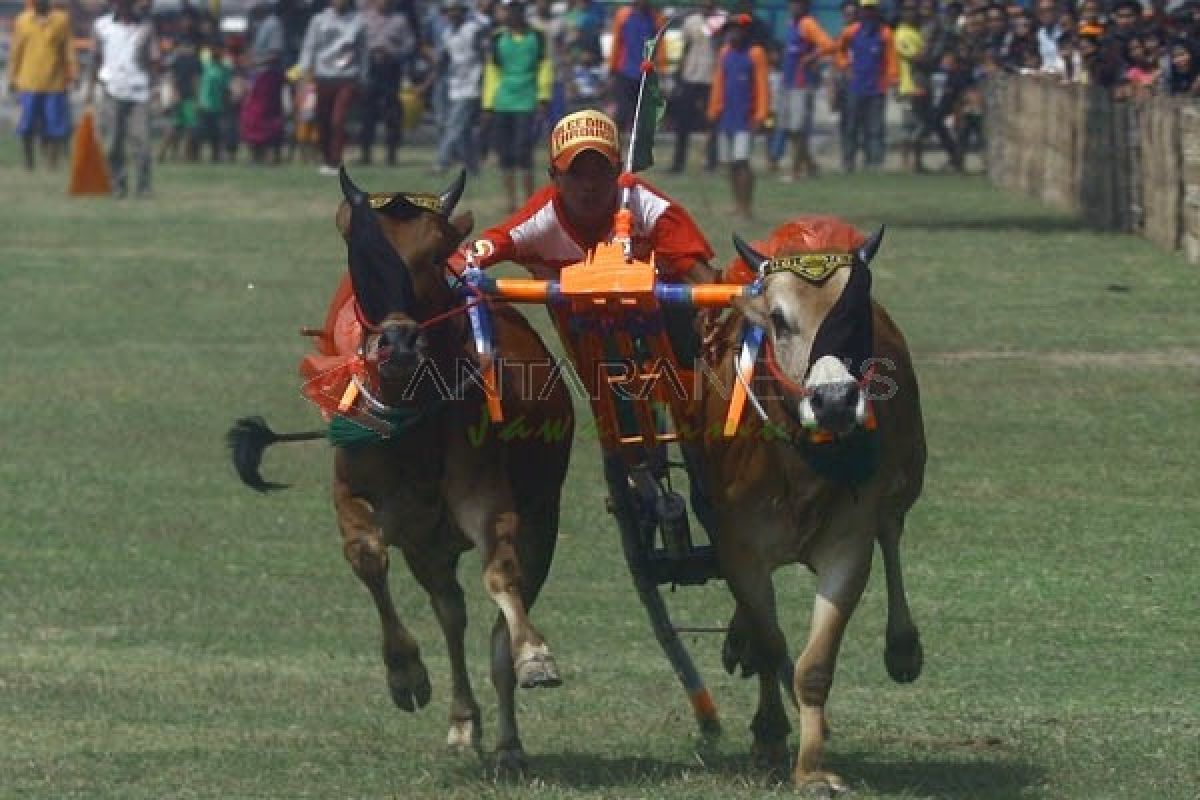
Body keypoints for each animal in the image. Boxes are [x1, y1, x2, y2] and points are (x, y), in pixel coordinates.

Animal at [232, 167, 576, 767]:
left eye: (436, 252)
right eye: (361, 250)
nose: (397, 342)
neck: (413, 416)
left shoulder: (489, 500)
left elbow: (501, 577)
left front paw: (535, 654)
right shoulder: (361, 498)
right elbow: (368, 557)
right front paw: (406, 674)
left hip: (539, 518)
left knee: (495, 618)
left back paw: (507, 736)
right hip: (428, 547)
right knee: (451, 613)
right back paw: (463, 719)